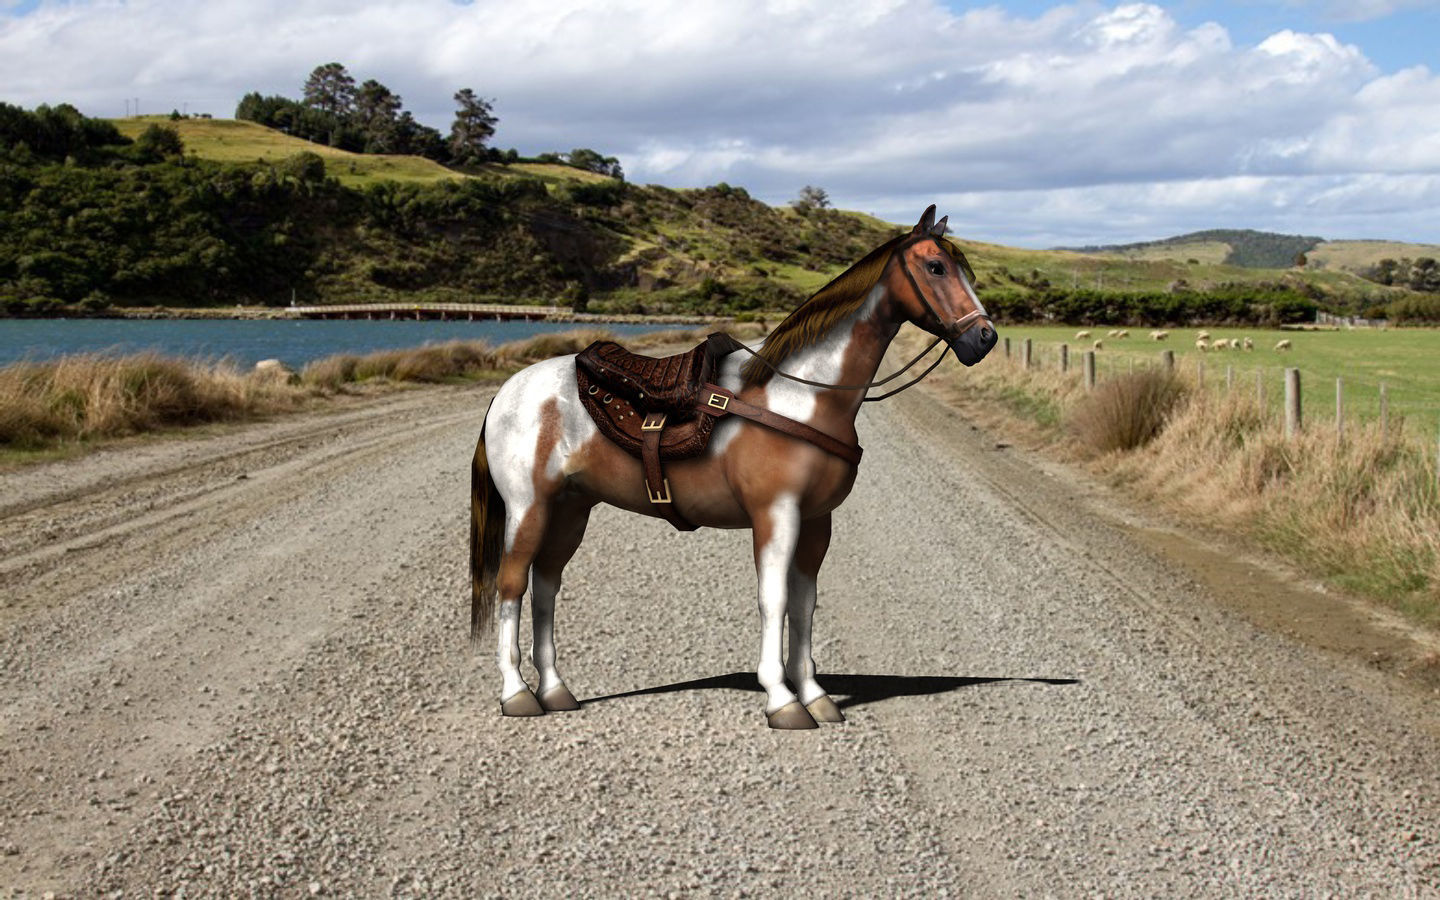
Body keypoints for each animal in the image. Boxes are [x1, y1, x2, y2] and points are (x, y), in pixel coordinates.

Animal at [469, 205, 997, 729]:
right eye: (936, 267)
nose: (985, 338)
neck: (801, 395)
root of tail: (507, 392)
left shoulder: (816, 521)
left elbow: (804, 603)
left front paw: (815, 695)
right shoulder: (775, 514)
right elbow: (774, 599)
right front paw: (782, 699)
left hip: (570, 509)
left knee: (545, 587)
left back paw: (556, 690)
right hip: (529, 507)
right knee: (512, 584)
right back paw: (517, 693)